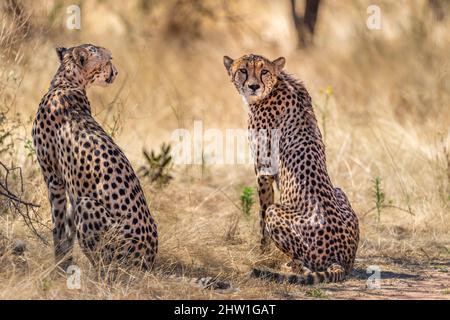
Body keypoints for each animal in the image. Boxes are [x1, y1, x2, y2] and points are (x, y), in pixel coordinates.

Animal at [32, 44, 158, 270]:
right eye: (108, 60)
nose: (116, 72)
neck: (65, 83)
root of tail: (149, 262)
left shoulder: (54, 180)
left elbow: (58, 227)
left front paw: (58, 267)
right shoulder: (68, 186)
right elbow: (68, 231)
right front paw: (65, 264)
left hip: (89, 206)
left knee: (106, 267)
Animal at [223, 54, 360, 284]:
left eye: (264, 71)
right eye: (243, 70)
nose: (253, 86)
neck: (276, 84)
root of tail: (341, 259)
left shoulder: (263, 170)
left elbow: (262, 215)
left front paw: (262, 252)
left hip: (278, 213)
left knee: (298, 258)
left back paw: (290, 266)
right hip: (339, 191)